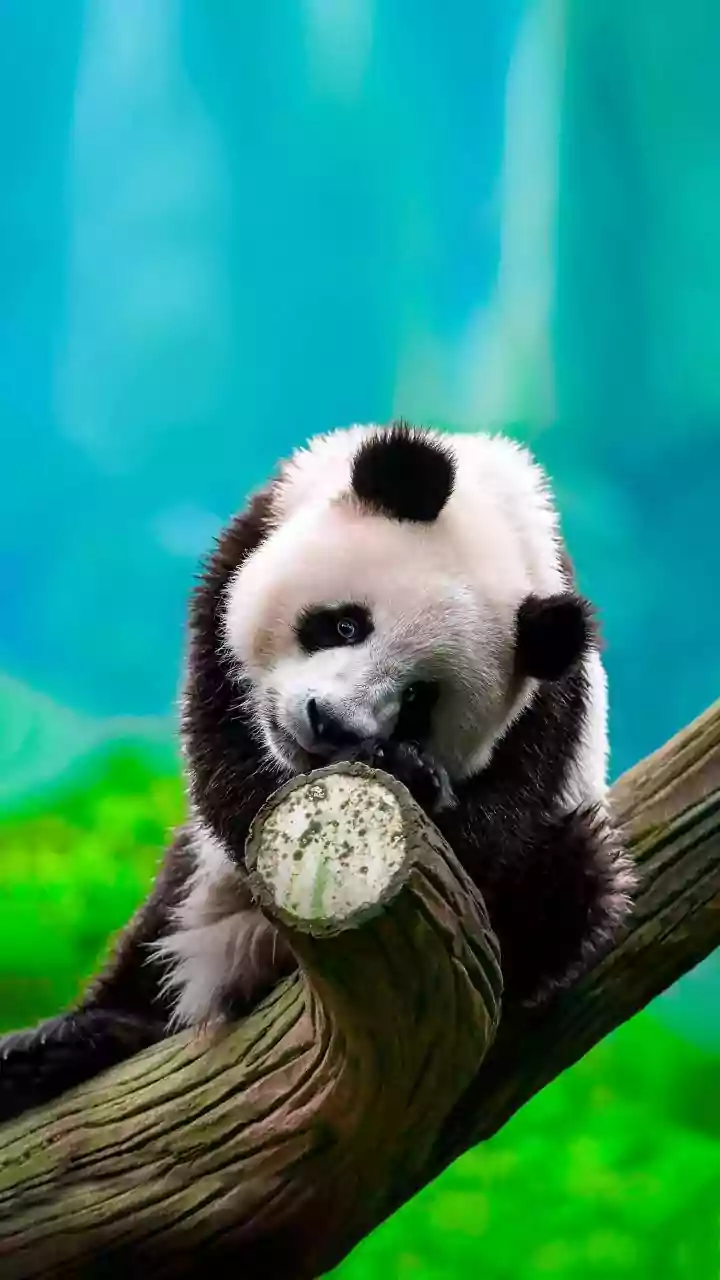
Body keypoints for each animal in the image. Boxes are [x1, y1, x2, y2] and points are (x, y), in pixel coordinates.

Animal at [0, 421, 635, 1122]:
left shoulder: (553, 710)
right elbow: (225, 759)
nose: (328, 724)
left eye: (418, 701)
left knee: (572, 881)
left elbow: (492, 841)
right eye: (344, 624)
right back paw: (64, 1044)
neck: (496, 517)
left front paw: (412, 775)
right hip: (198, 894)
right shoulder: (248, 547)